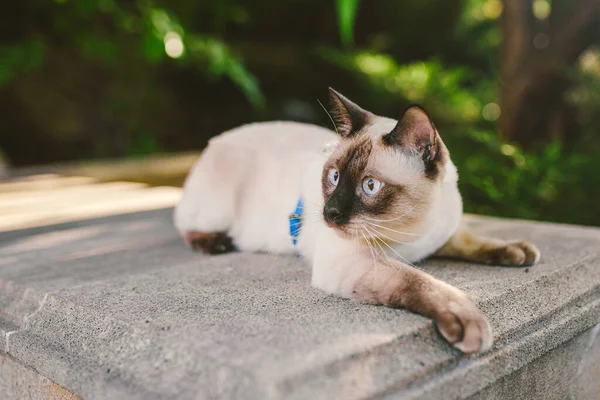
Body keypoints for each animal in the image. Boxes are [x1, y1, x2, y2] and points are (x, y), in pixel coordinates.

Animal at [172, 87, 540, 354]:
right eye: (334, 177)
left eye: (370, 186)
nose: (329, 213)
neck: (412, 234)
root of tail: (214, 142)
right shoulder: (353, 261)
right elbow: (421, 282)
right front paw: (468, 322)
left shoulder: (444, 233)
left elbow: (475, 239)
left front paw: (517, 252)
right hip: (216, 210)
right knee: (184, 224)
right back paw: (214, 243)